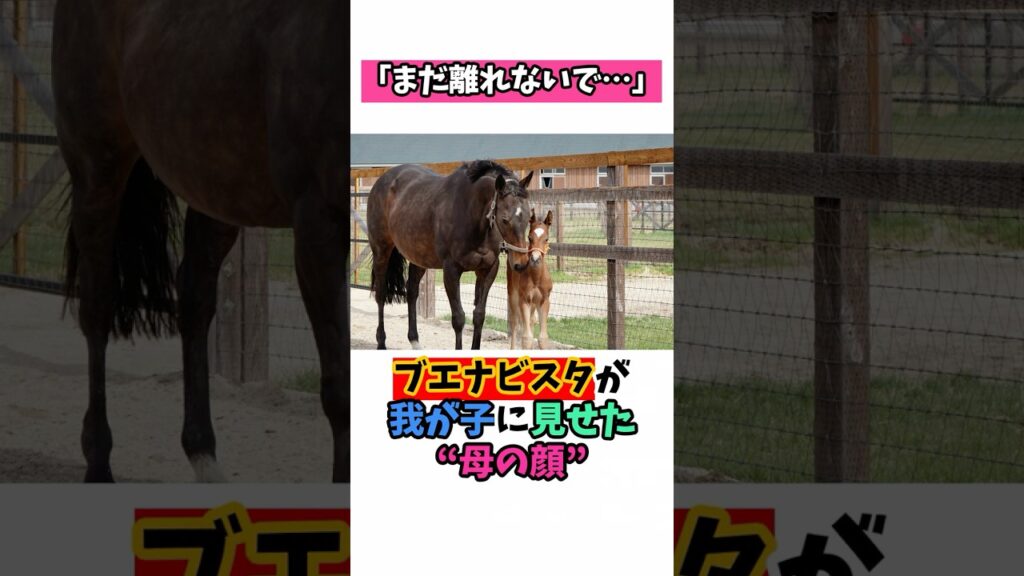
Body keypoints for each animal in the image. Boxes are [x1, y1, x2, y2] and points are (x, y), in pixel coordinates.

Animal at [53, 0, 349, 482]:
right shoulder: (318, 222)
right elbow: (339, 386)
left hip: (216, 187)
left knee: (194, 296)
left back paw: (203, 455)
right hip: (97, 167)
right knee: (97, 307)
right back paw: (98, 464)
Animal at [366, 161, 533, 350]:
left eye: (529, 216)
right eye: (505, 219)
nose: (521, 263)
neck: (471, 213)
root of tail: (382, 180)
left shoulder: (488, 270)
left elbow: (479, 315)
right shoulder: (451, 271)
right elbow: (459, 318)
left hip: (419, 258)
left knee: (412, 292)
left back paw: (415, 341)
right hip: (381, 250)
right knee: (380, 294)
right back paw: (381, 342)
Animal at [507, 209, 554, 350]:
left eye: (546, 238)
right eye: (529, 237)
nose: (535, 259)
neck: (537, 278)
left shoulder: (544, 301)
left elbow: (543, 338)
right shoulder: (524, 300)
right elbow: (526, 338)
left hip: (534, 303)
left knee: (532, 321)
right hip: (513, 295)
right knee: (514, 322)